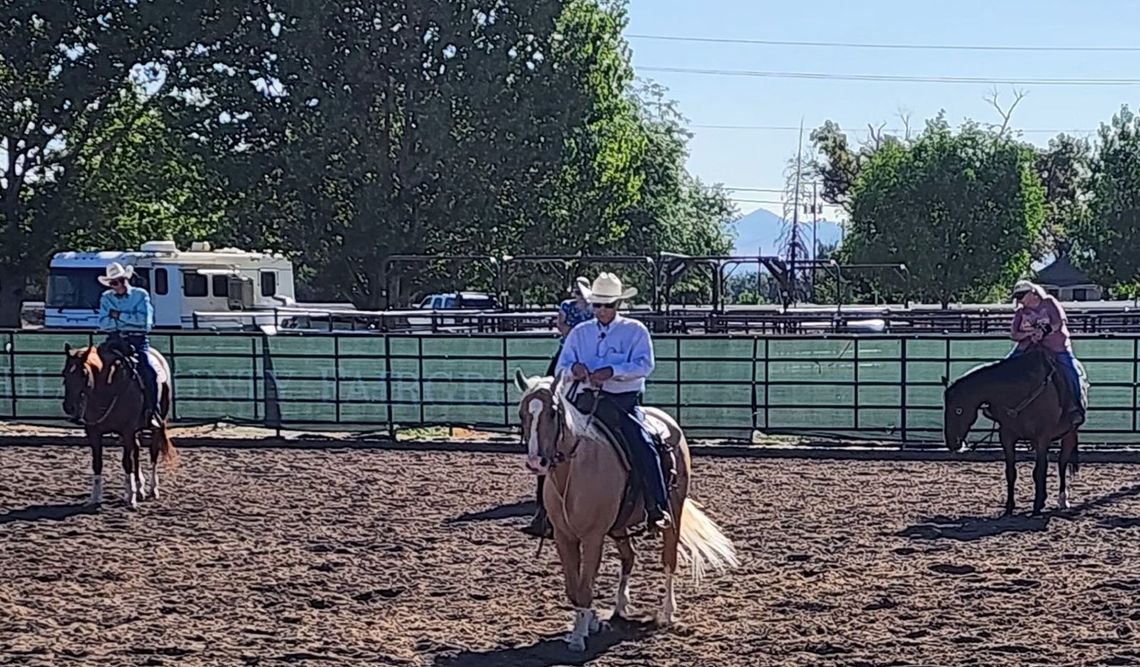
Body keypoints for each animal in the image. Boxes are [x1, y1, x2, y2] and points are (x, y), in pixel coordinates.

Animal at [61, 339, 174, 506]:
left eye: (84, 373)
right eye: (65, 373)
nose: (68, 406)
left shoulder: (127, 431)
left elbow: (127, 461)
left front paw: (131, 497)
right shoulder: (94, 433)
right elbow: (97, 463)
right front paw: (95, 497)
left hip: (156, 426)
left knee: (153, 452)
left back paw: (152, 489)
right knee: (137, 451)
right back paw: (140, 488)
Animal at [513, 369, 734, 652]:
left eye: (553, 412)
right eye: (522, 413)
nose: (535, 462)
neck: (574, 471)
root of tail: (668, 422)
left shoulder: (593, 537)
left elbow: (585, 586)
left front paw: (579, 635)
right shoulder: (564, 537)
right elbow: (573, 588)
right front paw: (591, 621)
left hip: (673, 512)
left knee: (669, 560)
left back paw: (666, 613)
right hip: (619, 525)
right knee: (629, 557)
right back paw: (619, 607)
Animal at [943, 344, 1085, 515]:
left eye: (958, 410)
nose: (952, 442)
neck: (1021, 391)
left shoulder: (1042, 437)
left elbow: (1039, 471)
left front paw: (1037, 506)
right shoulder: (1007, 436)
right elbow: (1011, 472)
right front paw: (1010, 506)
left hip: (1069, 434)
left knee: (1061, 463)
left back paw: (1063, 500)